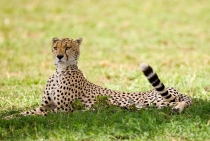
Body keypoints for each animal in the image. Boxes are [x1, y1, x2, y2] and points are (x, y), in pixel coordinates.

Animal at [4, 37, 192, 118]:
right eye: (56, 47)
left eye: (68, 47)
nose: (59, 56)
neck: (60, 71)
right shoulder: (45, 106)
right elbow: (26, 112)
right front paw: (8, 118)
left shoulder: (64, 110)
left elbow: (34, 114)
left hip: (155, 100)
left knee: (179, 102)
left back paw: (177, 109)